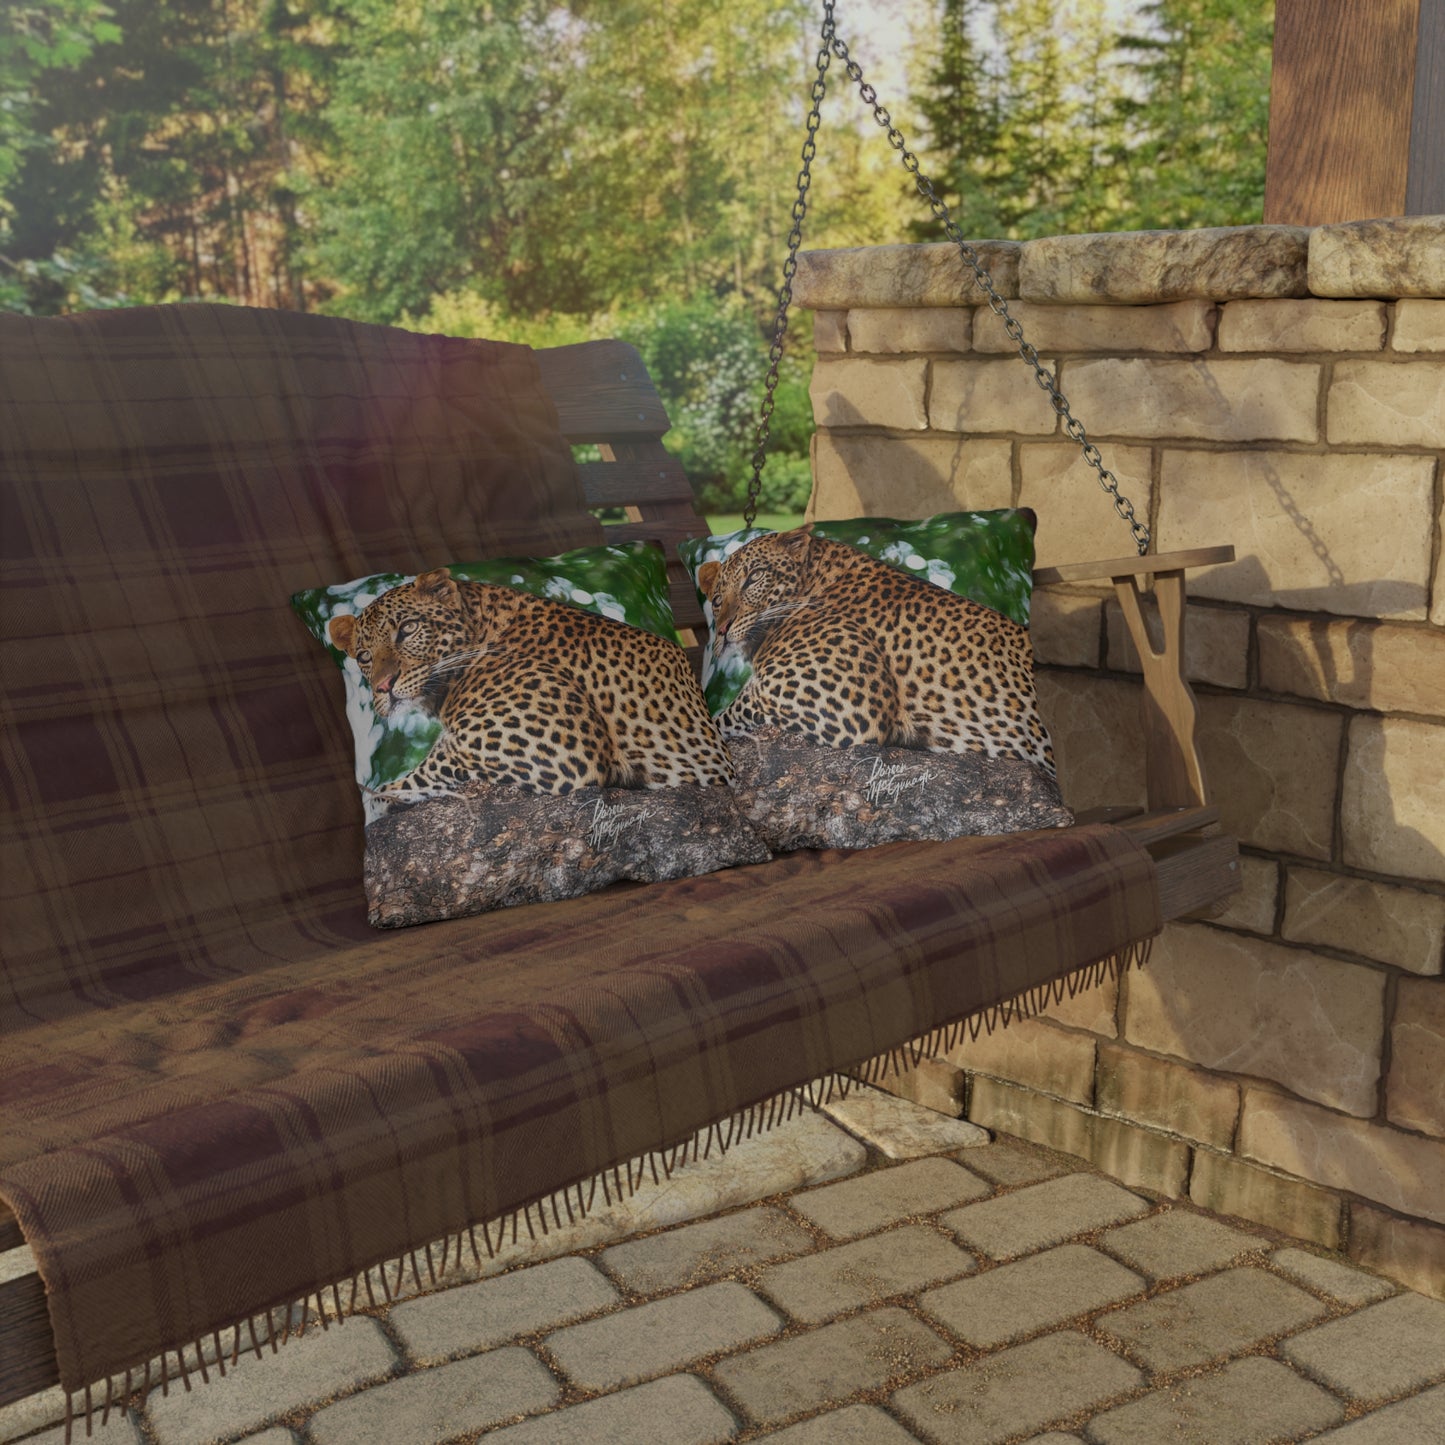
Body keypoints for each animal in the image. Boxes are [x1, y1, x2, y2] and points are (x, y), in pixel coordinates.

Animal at [327, 567, 735, 800]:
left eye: (408, 628)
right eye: (364, 656)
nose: (384, 687)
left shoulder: (559, 749)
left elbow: (431, 765)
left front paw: (382, 795)